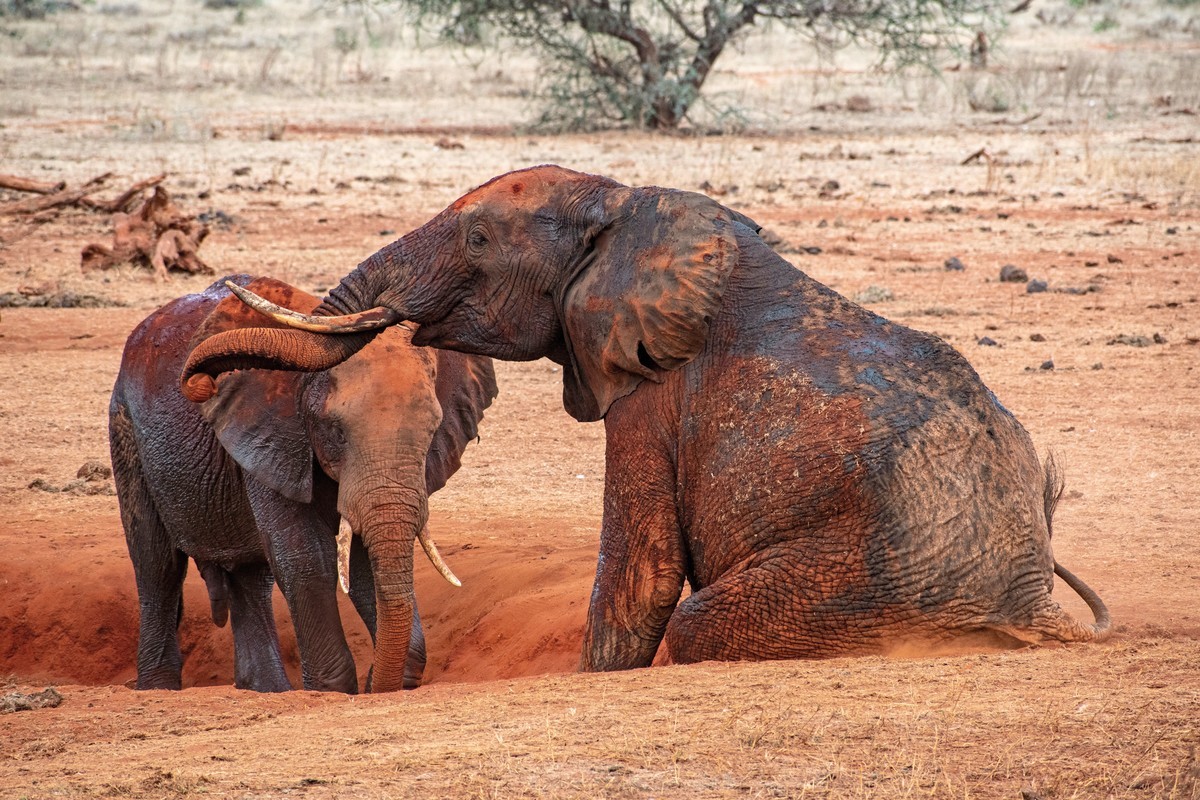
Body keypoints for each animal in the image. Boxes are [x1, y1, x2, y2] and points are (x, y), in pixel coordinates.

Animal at [108, 273, 492, 690]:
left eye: (432, 433)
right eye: (336, 432)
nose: (200, 383)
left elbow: (360, 562)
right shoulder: (271, 435)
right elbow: (306, 558)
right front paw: (332, 690)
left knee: (251, 579)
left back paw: (265, 690)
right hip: (125, 428)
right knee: (156, 565)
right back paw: (158, 686)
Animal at [182, 167, 1108, 671]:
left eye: (477, 240)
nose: (193, 378)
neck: (624, 205)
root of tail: (1037, 606)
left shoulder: (650, 391)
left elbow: (646, 578)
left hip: (870, 583)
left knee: (698, 622)